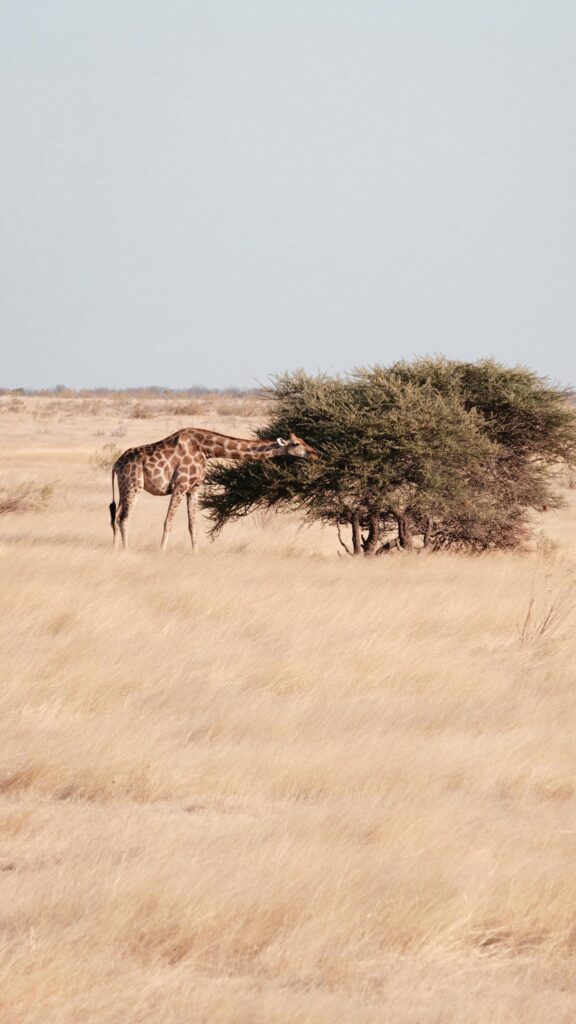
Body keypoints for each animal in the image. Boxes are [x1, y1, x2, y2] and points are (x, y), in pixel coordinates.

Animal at [109, 427, 318, 550]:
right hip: (134, 485)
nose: (315, 454)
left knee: (115, 517)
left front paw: (195, 553)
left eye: (303, 440)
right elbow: (168, 522)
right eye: (296, 443)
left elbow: (193, 525)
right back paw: (125, 550)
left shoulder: (194, 488)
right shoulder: (180, 485)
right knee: (124, 518)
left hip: (123, 488)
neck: (205, 449)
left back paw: (115, 549)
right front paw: (162, 551)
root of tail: (116, 465)